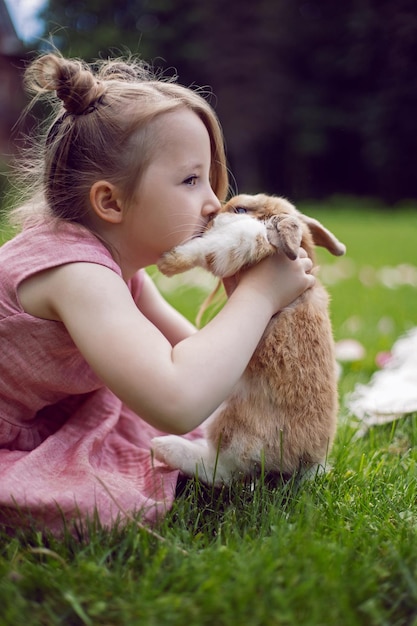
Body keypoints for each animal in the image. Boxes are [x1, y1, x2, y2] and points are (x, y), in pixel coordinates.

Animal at [151, 193, 346, 486]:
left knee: (222, 471)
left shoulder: (242, 240)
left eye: (241, 209)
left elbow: (209, 248)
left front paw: (168, 263)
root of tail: (305, 464)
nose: (211, 216)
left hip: (229, 426)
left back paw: (164, 446)